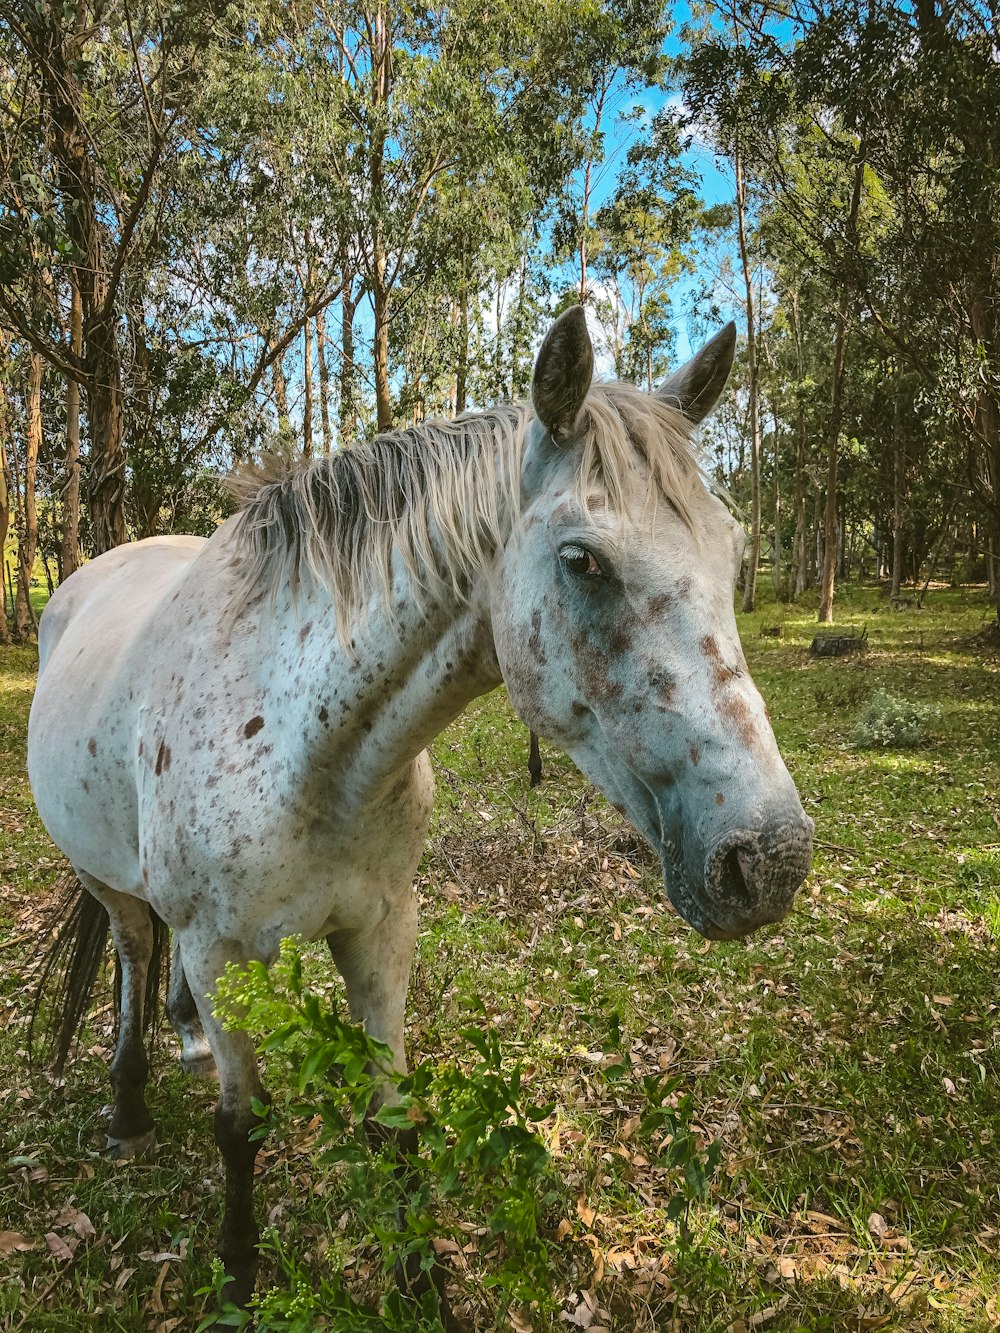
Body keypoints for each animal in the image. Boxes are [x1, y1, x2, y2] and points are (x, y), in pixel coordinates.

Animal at [27, 309, 816, 1301]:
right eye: (583, 560)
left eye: (733, 549)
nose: (770, 857)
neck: (299, 744)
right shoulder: (217, 951)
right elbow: (240, 1128)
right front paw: (239, 1276)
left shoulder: (382, 926)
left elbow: (394, 1113)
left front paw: (417, 1272)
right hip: (108, 882)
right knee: (134, 951)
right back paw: (129, 1104)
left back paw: (187, 1040)